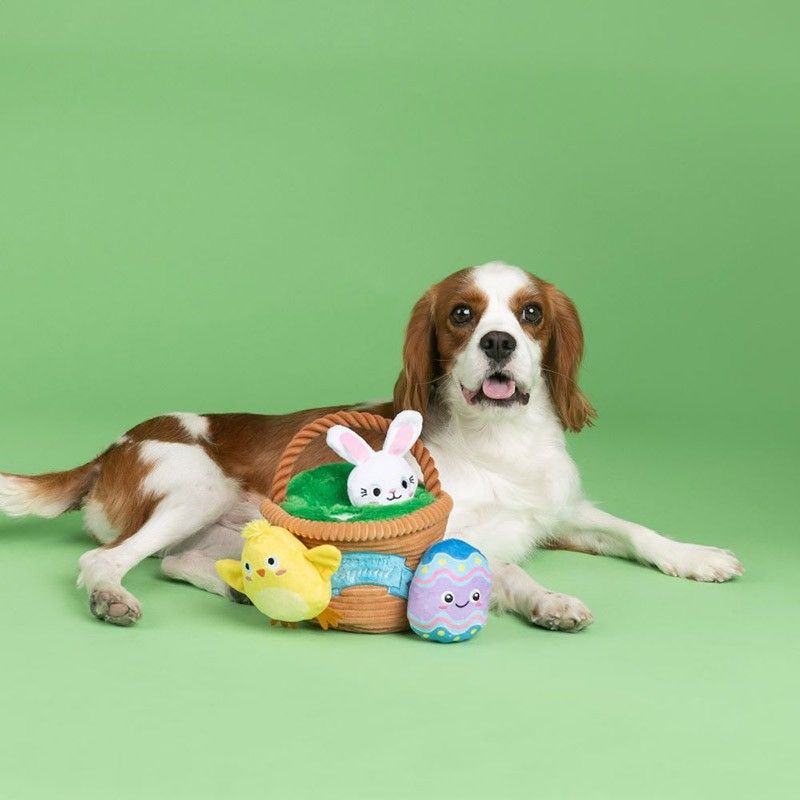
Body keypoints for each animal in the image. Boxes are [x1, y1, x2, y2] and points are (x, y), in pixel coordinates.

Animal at [0, 266, 744, 628]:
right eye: (462, 314)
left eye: (531, 313)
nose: (499, 342)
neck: (501, 443)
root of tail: (110, 448)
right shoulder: (451, 538)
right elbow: (506, 571)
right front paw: (548, 602)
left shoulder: (562, 515)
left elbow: (637, 531)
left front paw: (698, 556)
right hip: (195, 486)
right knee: (103, 560)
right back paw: (110, 600)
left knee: (180, 561)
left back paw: (237, 589)